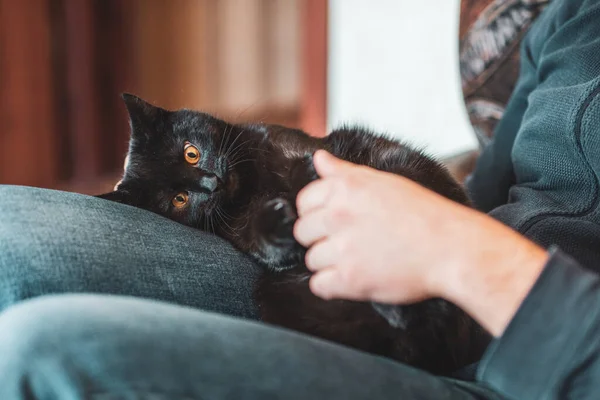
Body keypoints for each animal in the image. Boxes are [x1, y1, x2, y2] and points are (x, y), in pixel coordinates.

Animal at [99, 94, 488, 376]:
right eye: (178, 199)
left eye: (191, 153)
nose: (211, 182)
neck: (251, 187)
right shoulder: (241, 230)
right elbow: (265, 241)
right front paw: (279, 229)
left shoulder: (300, 148)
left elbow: (308, 163)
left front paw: (307, 183)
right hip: (276, 294)